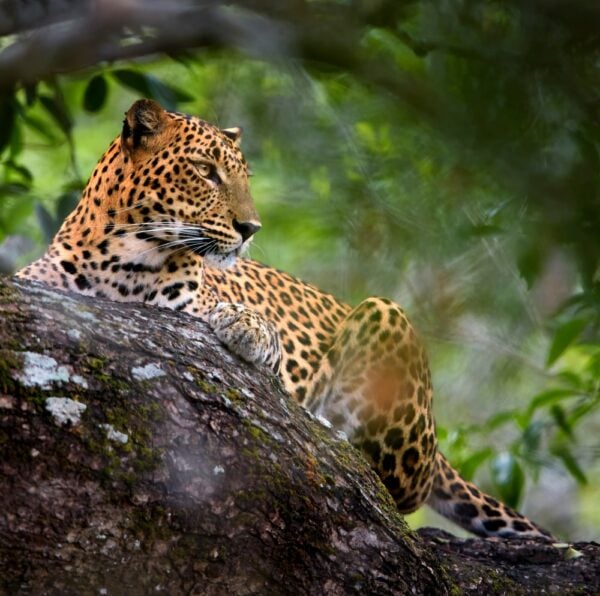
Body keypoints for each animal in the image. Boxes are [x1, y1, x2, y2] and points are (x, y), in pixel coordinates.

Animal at [16, 99, 556, 540]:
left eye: (244, 178)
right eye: (206, 171)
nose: (250, 228)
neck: (123, 259)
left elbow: (243, 325)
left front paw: (247, 326)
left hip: (386, 315)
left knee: (398, 487)